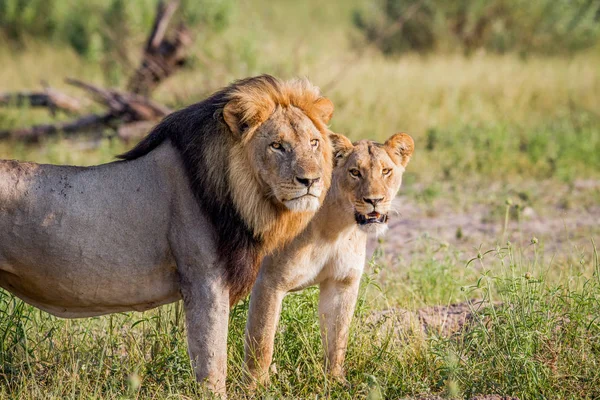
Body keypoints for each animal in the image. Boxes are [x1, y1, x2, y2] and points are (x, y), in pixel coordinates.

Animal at [0, 74, 336, 394]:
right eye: (277, 145)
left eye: (314, 142)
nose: (312, 180)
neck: (240, 196)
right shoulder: (203, 280)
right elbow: (212, 362)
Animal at [244, 133, 412, 386]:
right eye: (355, 172)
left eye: (386, 171)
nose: (375, 200)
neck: (335, 228)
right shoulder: (269, 282)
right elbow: (261, 340)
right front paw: (257, 387)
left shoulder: (341, 283)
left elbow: (337, 337)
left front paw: (335, 380)